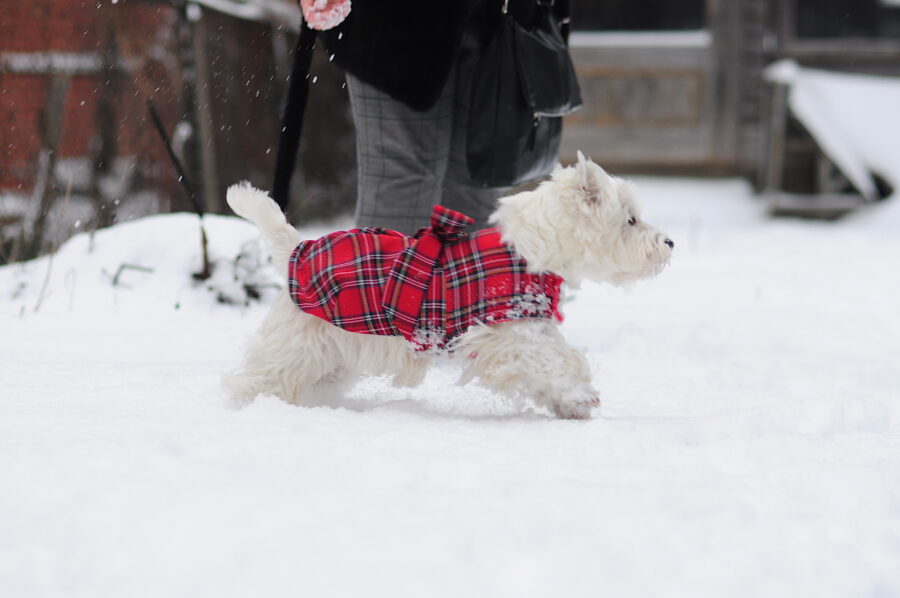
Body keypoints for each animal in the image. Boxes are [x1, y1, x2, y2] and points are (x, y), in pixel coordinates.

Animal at [227, 152, 668, 420]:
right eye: (630, 220)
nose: (669, 243)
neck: (532, 253)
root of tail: (296, 250)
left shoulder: (529, 326)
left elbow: (554, 359)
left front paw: (569, 403)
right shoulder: (506, 333)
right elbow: (554, 360)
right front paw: (578, 394)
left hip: (331, 358)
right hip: (295, 348)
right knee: (252, 379)